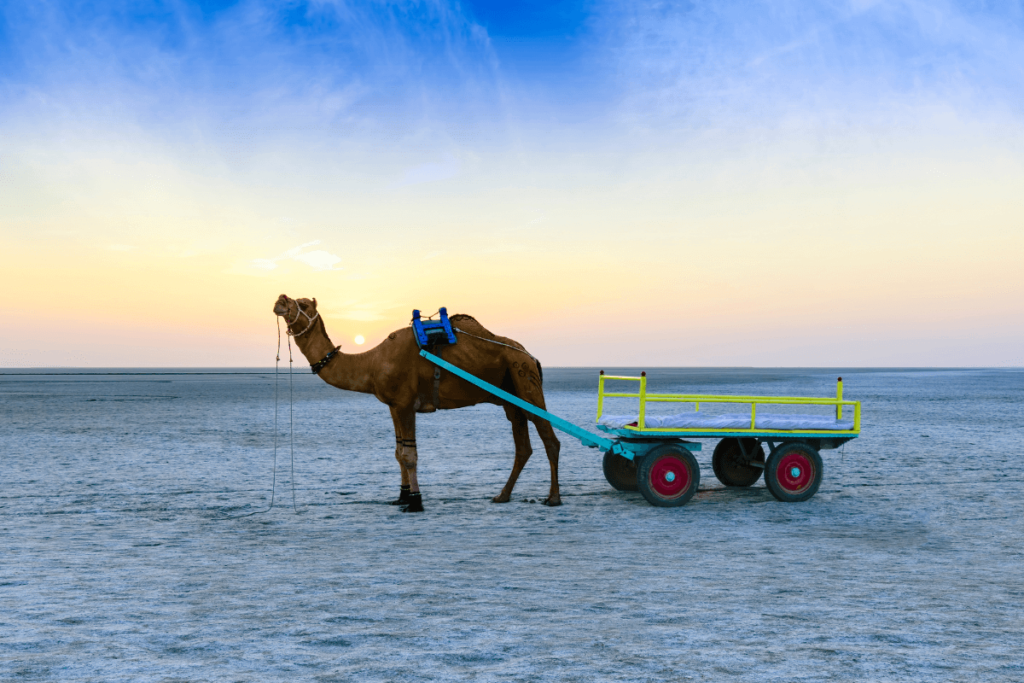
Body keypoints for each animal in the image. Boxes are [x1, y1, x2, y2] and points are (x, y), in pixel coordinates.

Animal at [272, 294, 561, 511]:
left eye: (303, 303)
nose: (280, 298)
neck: (371, 363)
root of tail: (530, 355)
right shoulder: (393, 406)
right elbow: (398, 452)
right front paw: (401, 497)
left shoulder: (405, 403)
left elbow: (410, 455)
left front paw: (415, 502)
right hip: (510, 394)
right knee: (523, 445)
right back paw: (502, 495)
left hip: (524, 378)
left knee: (550, 437)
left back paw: (553, 498)